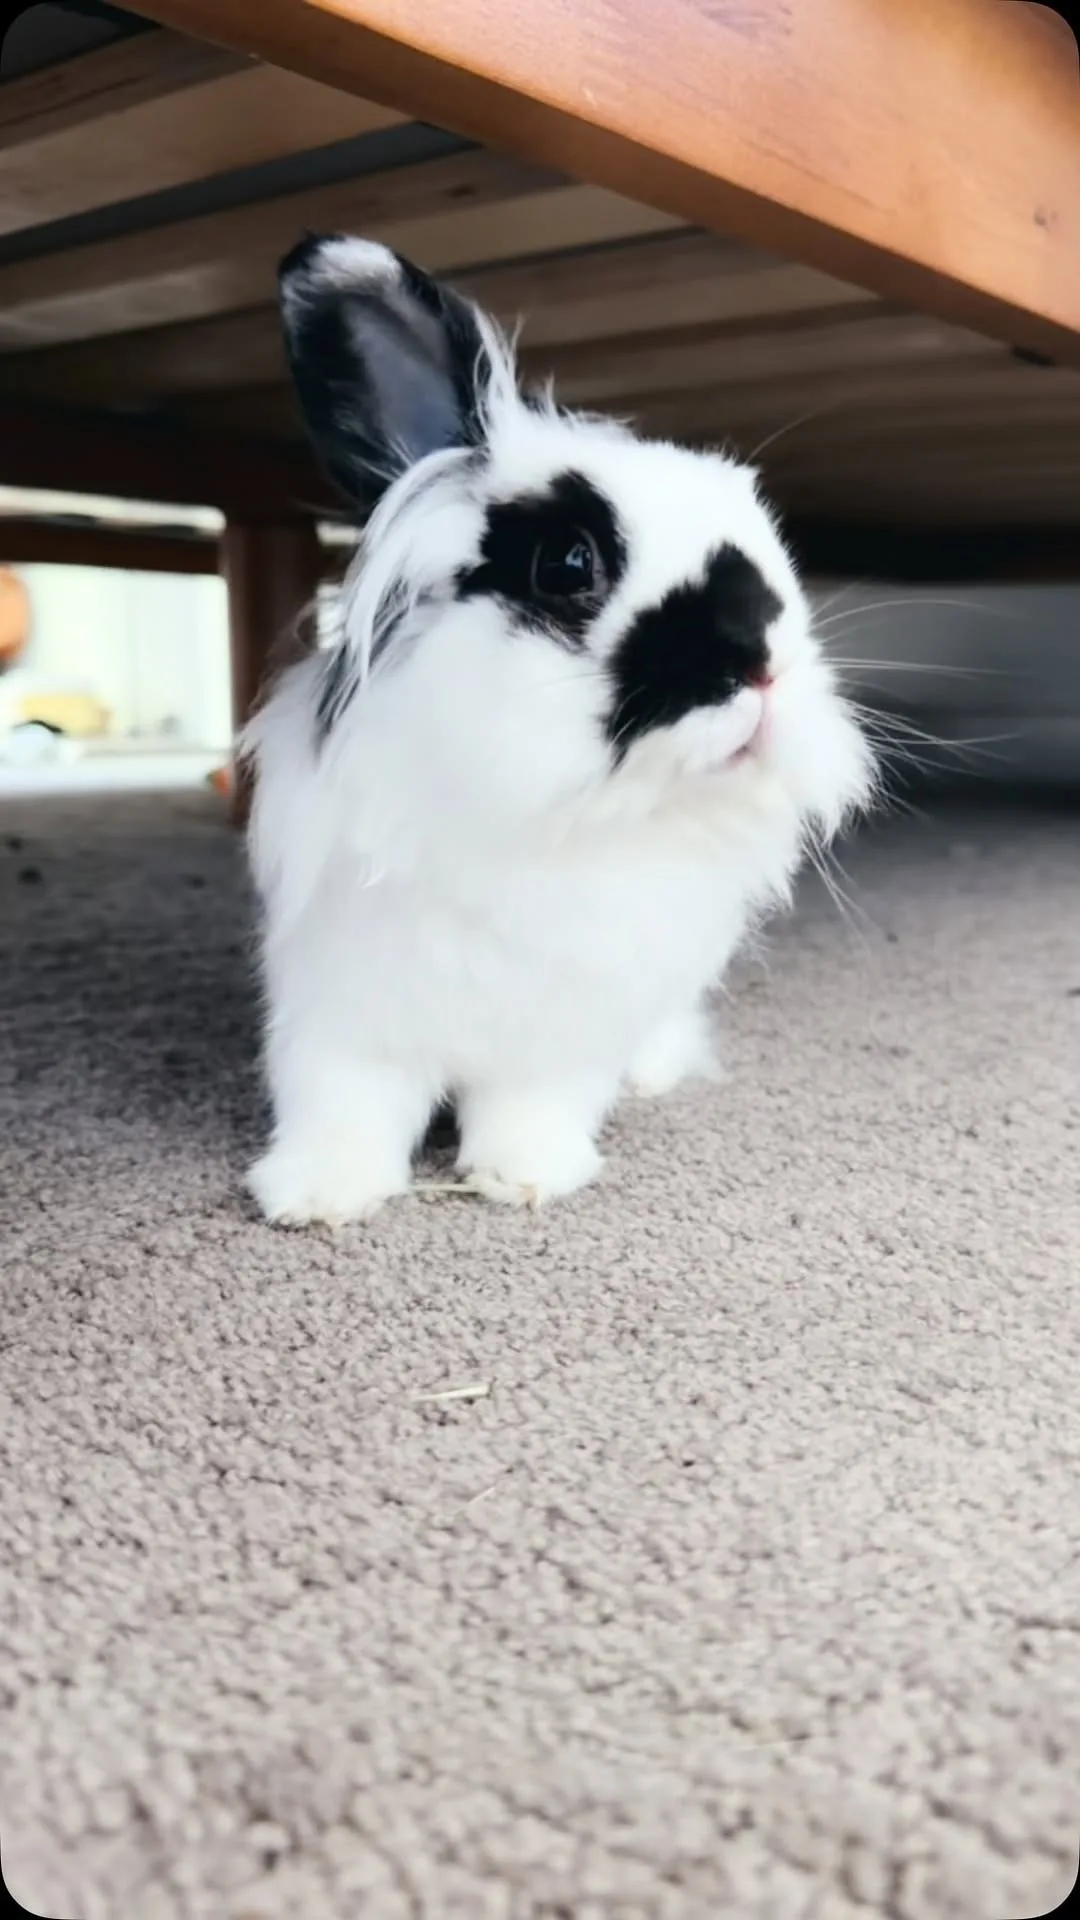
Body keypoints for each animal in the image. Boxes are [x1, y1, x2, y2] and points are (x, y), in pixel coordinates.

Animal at [243, 234, 875, 1224]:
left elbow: (530, 1103)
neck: (557, 816)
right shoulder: (341, 1007)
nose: (763, 665)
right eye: (568, 564)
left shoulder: (562, 1028)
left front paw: (526, 1176)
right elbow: (345, 1101)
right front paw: (318, 1195)